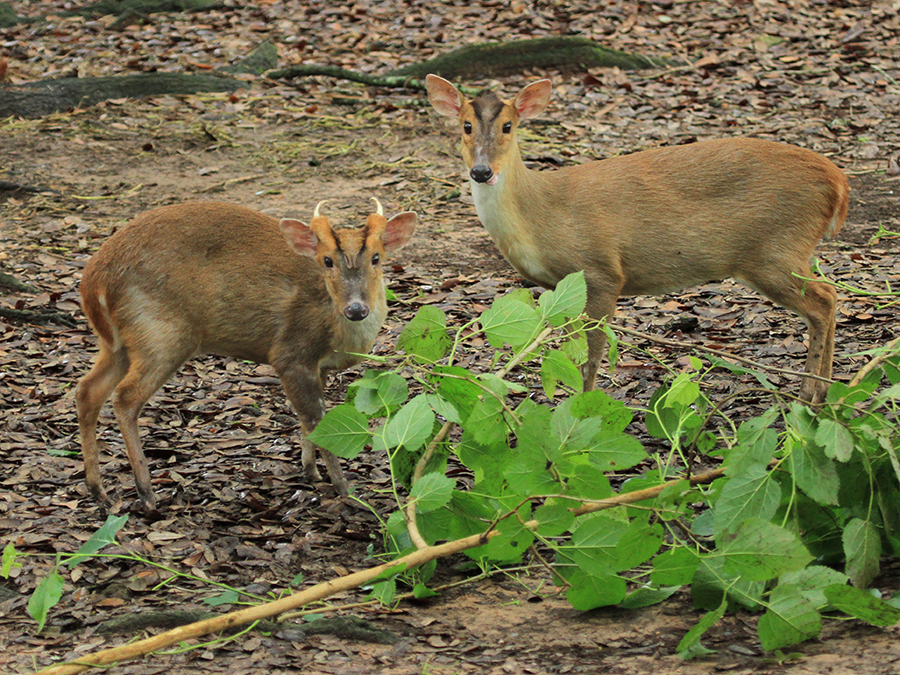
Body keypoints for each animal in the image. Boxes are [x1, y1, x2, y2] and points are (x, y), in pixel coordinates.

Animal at [77, 201, 414, 512]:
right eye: (327, 260)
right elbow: (317, 421)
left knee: (87, 390)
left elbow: (308, 423)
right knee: (125, 398)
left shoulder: (319, 367)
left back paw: (98, 490)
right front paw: (346, 491)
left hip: (118, 343)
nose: (356, 309)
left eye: (376, 258)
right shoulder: (290, 354)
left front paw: (310, 471)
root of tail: (94, 281)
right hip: (162, 335)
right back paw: (146, 493)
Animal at [426, 75, 848, 402]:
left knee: (824, 300)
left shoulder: (600, 270)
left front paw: (583, 407)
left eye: (508, 126)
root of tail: (838, 181)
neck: (539, 215)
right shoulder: (561, 286)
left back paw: (812, 393)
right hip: (787, 251)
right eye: (465, 126)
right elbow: (571, 351)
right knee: (828, 296)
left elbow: (592, 355)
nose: (482, 171)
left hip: (774, 249)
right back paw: (823, 391)